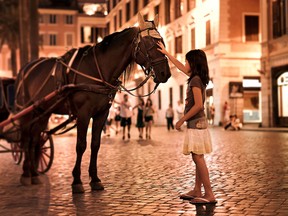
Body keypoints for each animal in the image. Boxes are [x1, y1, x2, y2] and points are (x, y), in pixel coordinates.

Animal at [11, 13, 170, 192]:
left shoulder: (102, 113)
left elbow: (95, 144)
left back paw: (34, 173)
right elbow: (81, 145)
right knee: (26, 139)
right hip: (26, 110)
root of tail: (24, 69)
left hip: (42, 112)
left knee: (35, 139)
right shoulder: (83, 113)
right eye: (149, 43)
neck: (98, 69)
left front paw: (94, 179)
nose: (165, 73)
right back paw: (26, 174)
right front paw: (77, 181)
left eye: (162, 41)